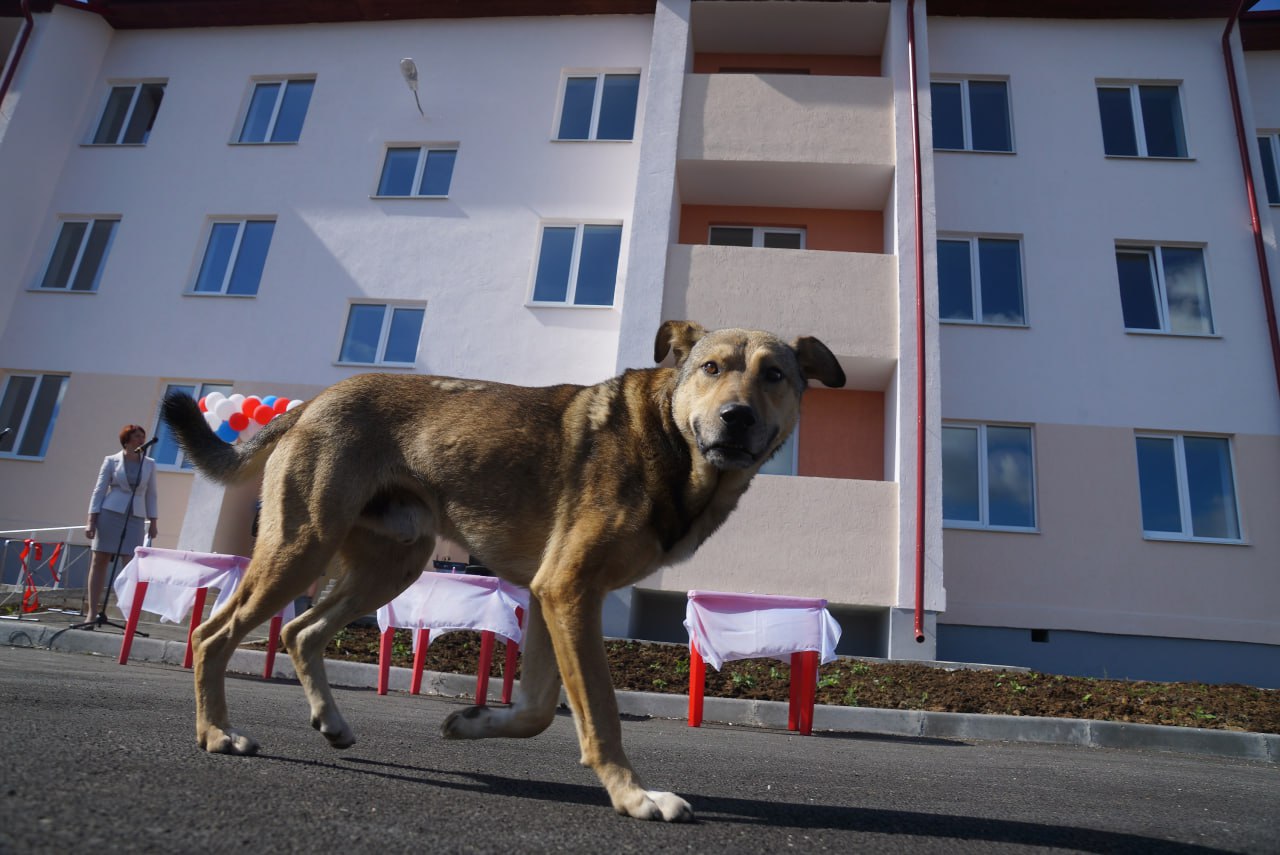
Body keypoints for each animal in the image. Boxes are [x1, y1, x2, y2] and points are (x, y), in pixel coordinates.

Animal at [165, 319, 849, 819]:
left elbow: (540, 710)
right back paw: (217, 734)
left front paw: (472, 722)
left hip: (393, 563)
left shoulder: (554, 597)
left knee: (298, 629)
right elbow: (599, 711)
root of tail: (310, 403)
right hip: (300, 547)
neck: (668, 439)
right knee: (213, 634)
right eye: (711, 369)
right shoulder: (568, 591)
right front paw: (633, 796)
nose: (738, 418)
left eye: (775, 375)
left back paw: (329, 722)